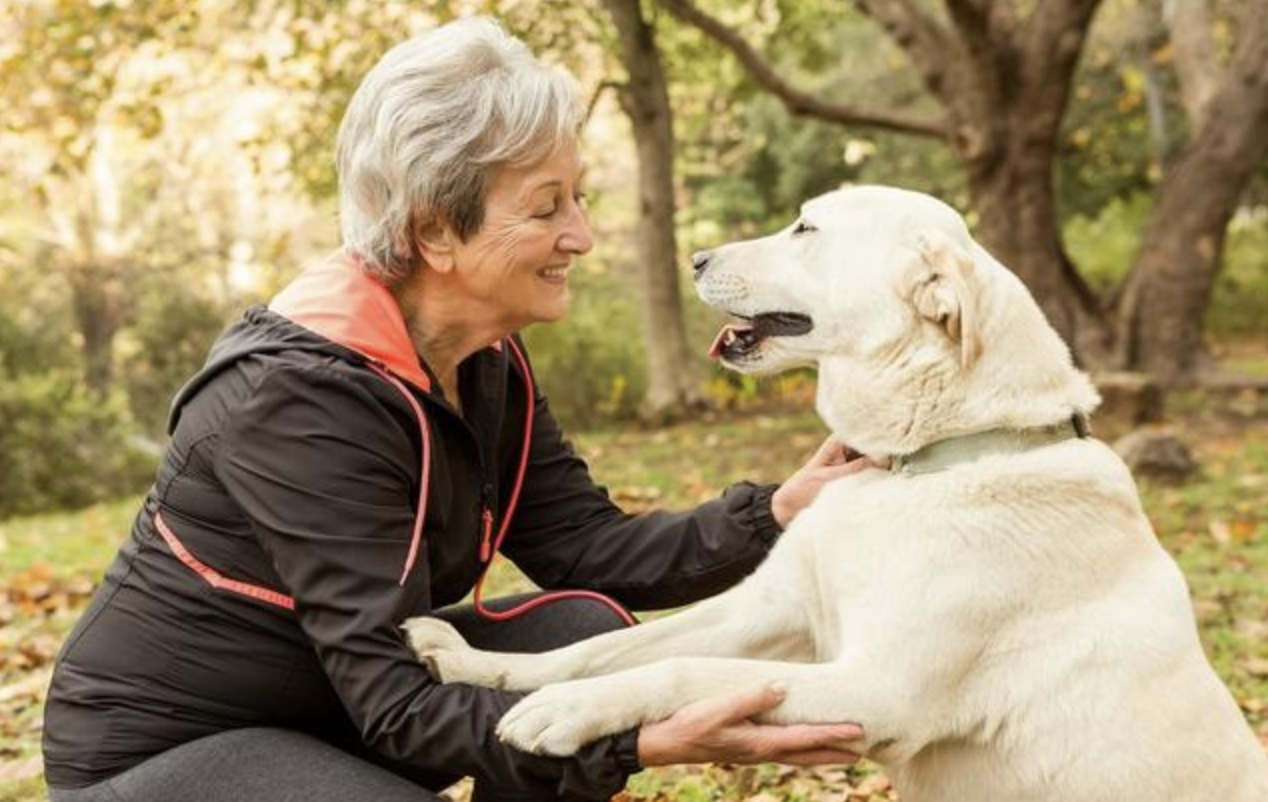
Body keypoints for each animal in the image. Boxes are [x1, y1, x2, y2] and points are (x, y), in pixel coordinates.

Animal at [408, 185, 1268, 796]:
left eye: (806, 229)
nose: (697, 257)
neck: (922, 462)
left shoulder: (870, 687)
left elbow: (678, 674)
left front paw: (567, 713)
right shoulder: (764, 612)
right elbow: (598, 649)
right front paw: (476, 666)